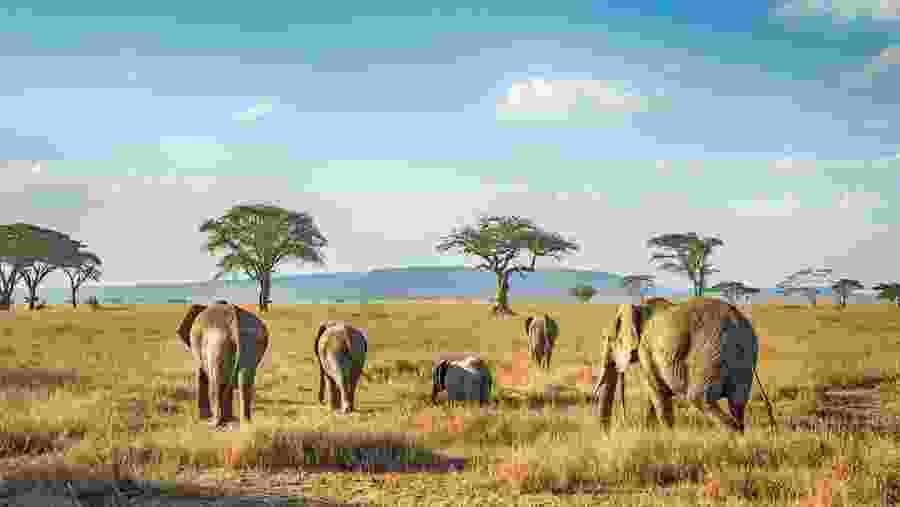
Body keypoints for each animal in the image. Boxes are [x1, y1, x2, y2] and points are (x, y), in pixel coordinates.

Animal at [593, 297, 775, 433]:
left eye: (609, 339)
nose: (607, 436)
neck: (639, 307)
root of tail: (738, 322)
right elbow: (654, 395)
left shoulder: (646, 349)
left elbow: (658, 393)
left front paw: (669, 438)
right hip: (744, 357)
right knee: (737, 404)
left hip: (711, 353)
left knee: (700, 398)